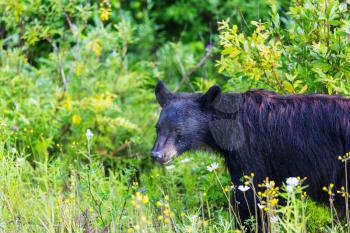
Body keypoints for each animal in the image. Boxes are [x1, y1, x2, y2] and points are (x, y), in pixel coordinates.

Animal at [151, 81, 350, 221]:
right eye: (157, 128)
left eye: (177, 130)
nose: (157, 154)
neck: (229, 125)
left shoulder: (249, 152)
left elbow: (249, 197)